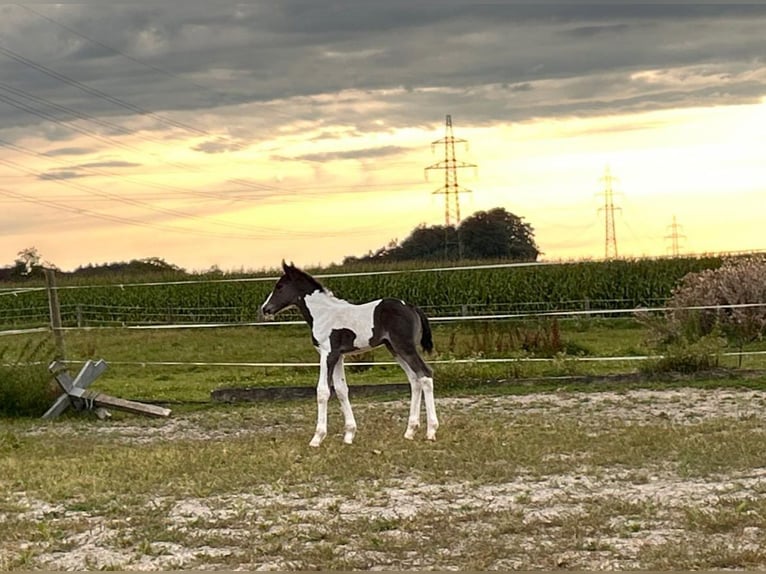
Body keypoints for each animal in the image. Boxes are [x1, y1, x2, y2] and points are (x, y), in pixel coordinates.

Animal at [260, 264, 438, 448]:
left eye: (280, 286)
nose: (265, 309)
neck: (323, 314)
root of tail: (411, 307)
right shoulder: (339, 356)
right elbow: (341, 390)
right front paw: (349, 435)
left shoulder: (328, 354)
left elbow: (322, 391)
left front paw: (317, 438)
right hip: (395, 349)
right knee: (415, 379)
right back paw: (410, 431)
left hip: (405, 347)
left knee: (425, 374)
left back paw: (431, 432)